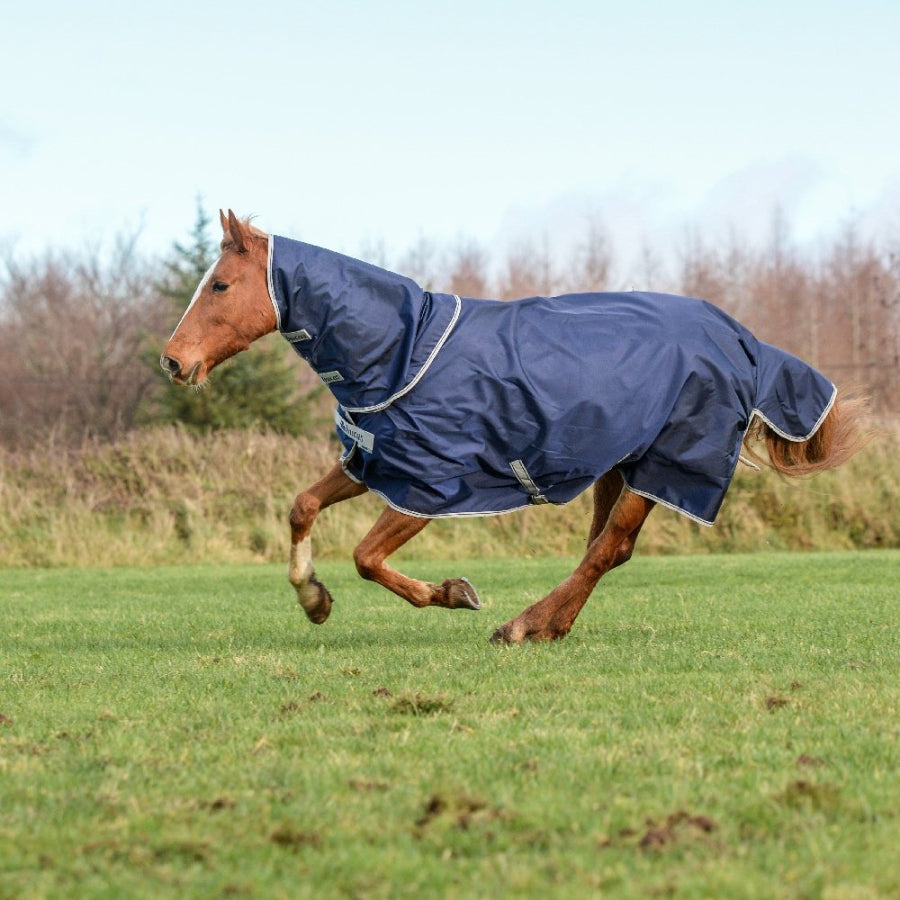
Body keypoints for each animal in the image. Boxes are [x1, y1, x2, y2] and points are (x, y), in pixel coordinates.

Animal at [161, 210, 868, 644]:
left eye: (219, 285)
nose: (173, 361)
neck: (403, 351)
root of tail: (742, 339)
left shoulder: (428, 486)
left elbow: (365, 557)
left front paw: (454, 593)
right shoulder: (375, 461)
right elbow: (302, 506)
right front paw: (314, 600)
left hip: (667, 465)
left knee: (608, 548)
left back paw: (522, 627)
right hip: (619, 464)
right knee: (605, 548)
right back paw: (550, 624)